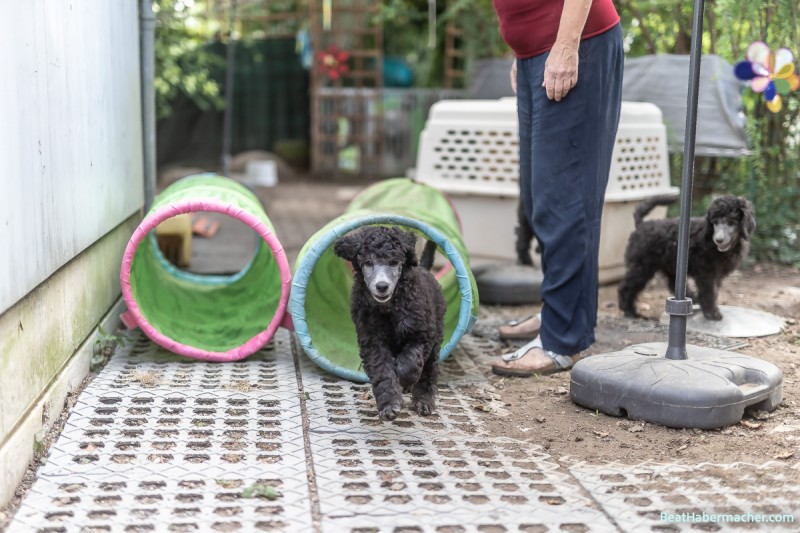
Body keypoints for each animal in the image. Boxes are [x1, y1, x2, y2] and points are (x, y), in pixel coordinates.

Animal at [333, 226, 446, 421]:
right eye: (368, 263)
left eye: (393, 262)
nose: (382, 286)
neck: (389, 307)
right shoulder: (372, 341)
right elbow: (383, 372)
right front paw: (389, 404)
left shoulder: (421, 335)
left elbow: (410, 363)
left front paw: (401, 379)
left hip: (436, 336)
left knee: (429, 371)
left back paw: (424, 401)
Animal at [618, 194, 756, 320]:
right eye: (715, 222)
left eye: (732, 222)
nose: (719, 240)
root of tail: (641, 224)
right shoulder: (706, 273)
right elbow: (709, 291)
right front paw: (711, 313)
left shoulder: (716, 273)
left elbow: (713, 290)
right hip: (642, 266)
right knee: (627, 286)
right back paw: (629, 311)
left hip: (670, 264)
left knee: (672, 282)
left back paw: (692, 297)